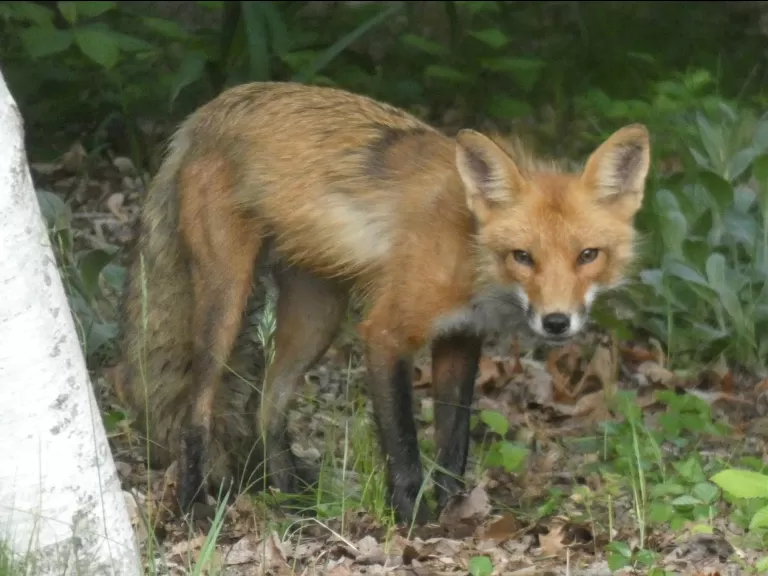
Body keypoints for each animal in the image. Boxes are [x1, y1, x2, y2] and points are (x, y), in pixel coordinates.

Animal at [114, 81, 651, 526]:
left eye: (587, 256)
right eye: (523, 256)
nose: (557, 322)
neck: (468, 249)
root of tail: (210, 109)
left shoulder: (461, 337)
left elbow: (453, 447)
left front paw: (455, 515)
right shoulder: (386, 334)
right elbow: (404, 448)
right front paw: (413, 523)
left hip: (317, 315)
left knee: (267, 404)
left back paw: (291, 502)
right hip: (226, 301)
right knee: (198, 410)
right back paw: (193, 507)